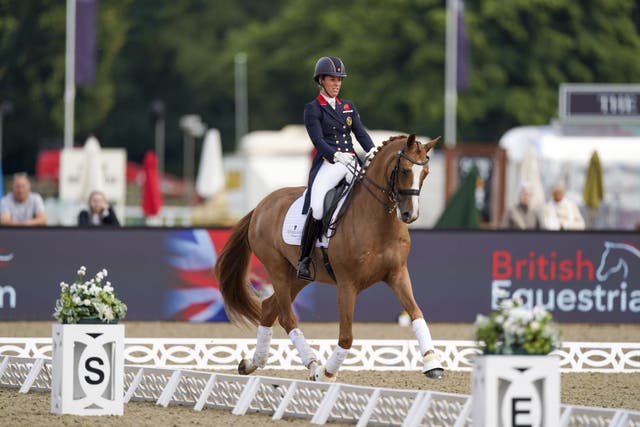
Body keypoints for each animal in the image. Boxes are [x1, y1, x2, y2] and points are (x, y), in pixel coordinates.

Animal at [212, 133, 442, 382]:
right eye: (405, 171)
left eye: (426, 172)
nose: (410, 215)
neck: (377, 220)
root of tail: (261, 206)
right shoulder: (347, 284)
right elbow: (346, 337)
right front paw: (327, 373)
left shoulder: (397, 274)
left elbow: (417, 314)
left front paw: (432, 363)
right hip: (277, 270)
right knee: (286, 318)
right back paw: (313, 367)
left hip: (299, 276)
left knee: (268, 308)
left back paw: (252, 363)